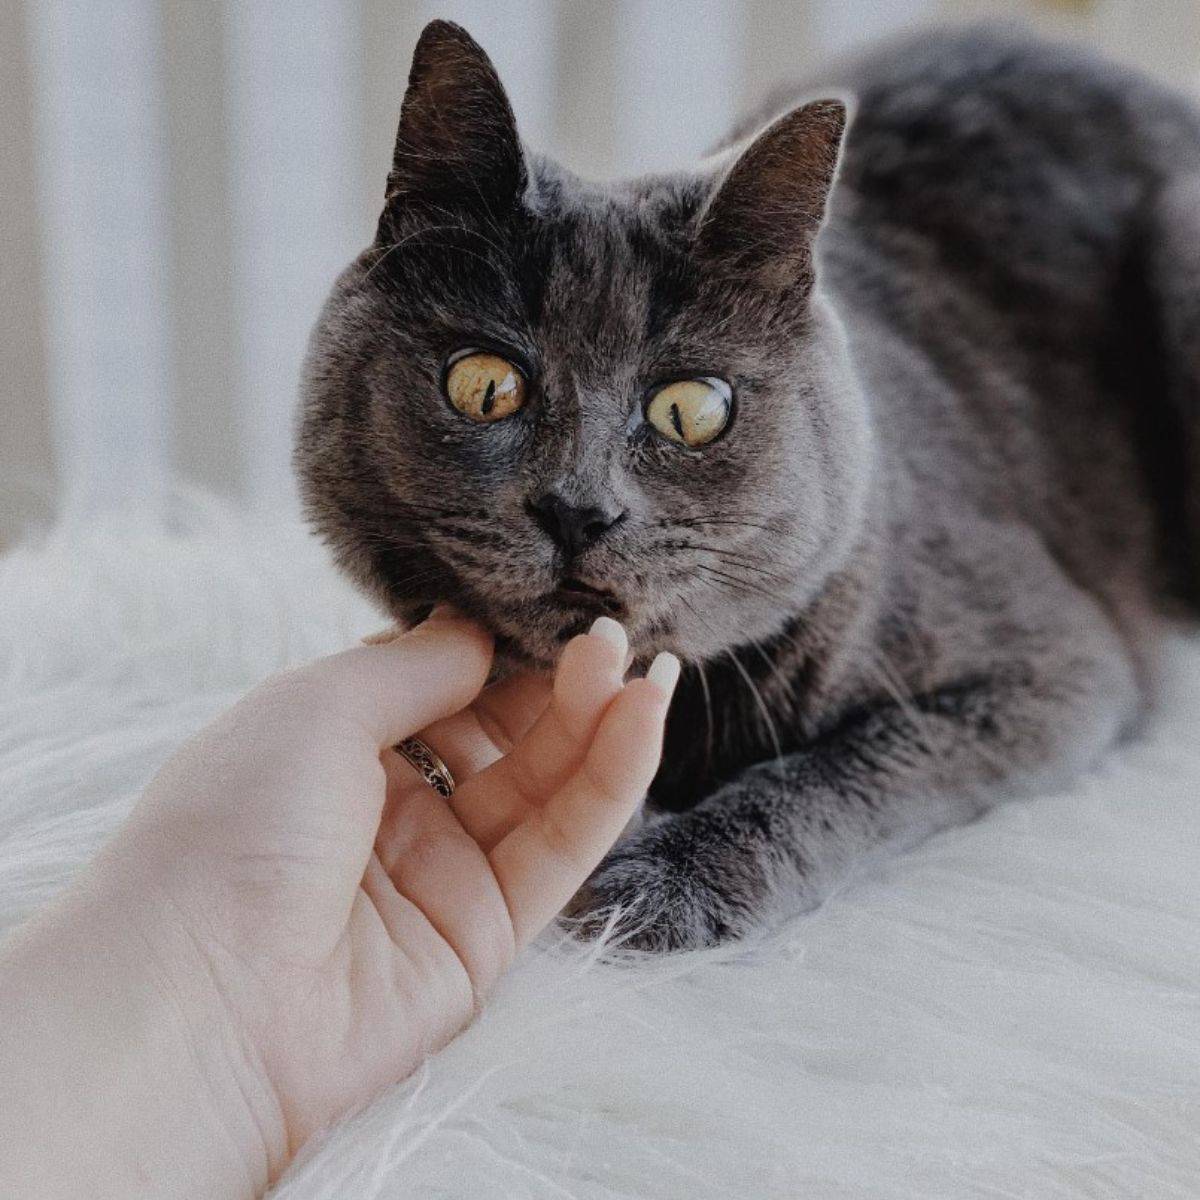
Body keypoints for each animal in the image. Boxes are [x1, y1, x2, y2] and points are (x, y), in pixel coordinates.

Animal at [295, 18, 1200, 950]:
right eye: (484, 385)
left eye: (691, 410)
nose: (578, 509)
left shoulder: (1051, 668)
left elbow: (836, 770)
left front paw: (664, 882)